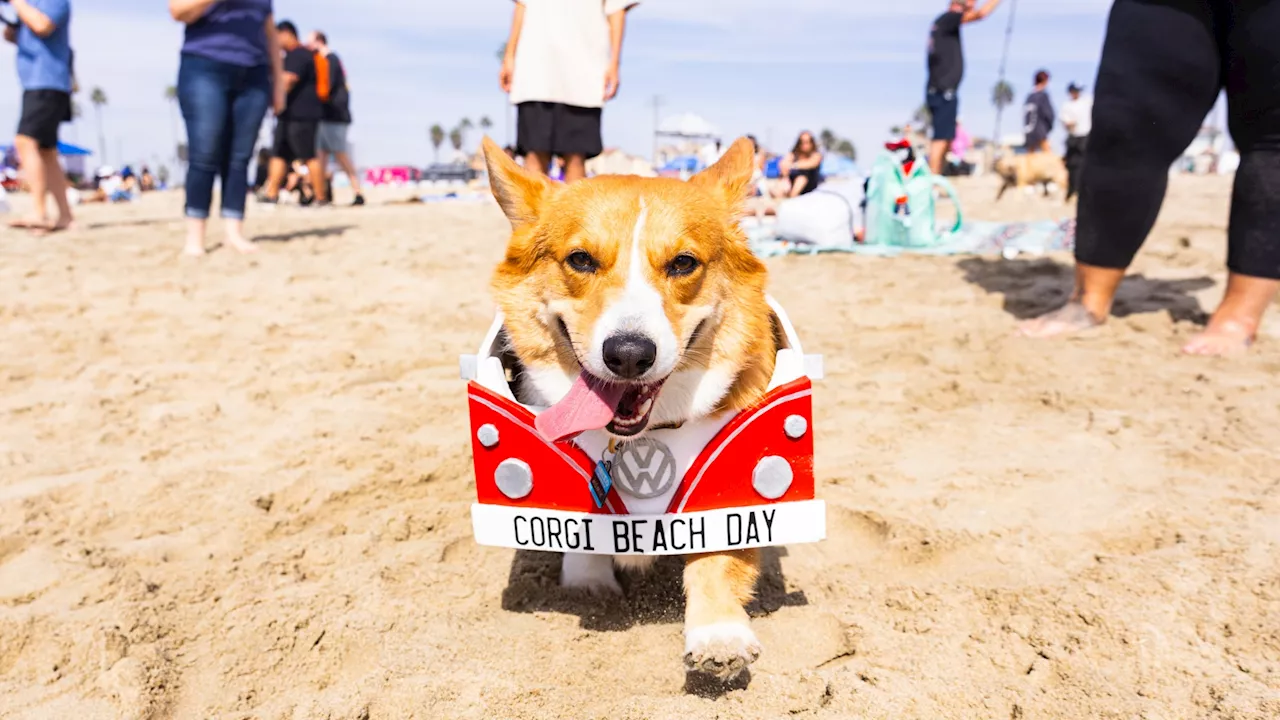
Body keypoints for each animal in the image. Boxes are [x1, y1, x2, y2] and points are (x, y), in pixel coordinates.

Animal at [481, 135, 778, 676]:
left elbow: (716, 560)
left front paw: (718, 634)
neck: (638, 437)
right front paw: (589, 582)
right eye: (581, 260)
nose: (629, 355)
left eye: (683, 263)